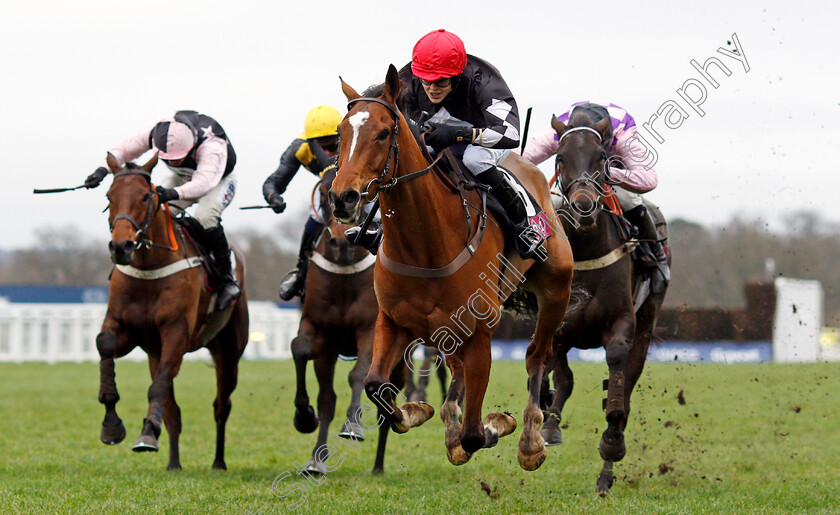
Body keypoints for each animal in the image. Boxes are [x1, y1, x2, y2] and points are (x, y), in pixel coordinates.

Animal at [98, 153, 248, 472]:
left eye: (145, 196)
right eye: (109, 196)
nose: (121, 247)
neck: (148, 266)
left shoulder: (176, 332)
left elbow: (158, 388)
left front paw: (146, 434)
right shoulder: (127, 329)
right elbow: (104, 344)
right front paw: (111, 425)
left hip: (228, 352)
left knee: (221, 406)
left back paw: (218, 461)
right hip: (155, 353)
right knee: (173, 410)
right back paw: (174, 463)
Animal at [292, 176, 406, 476]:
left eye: (360, 197)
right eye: (325, 194)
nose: (342, 243)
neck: (344, 275)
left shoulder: (368, 330)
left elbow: (357, 375)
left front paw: (352, 424)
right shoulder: (321, 333)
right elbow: (300, 350)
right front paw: (304, 418)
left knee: (387, 397)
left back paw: (378, 465)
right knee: (329, 399)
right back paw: (318, 459)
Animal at [330, 65, 576, 472]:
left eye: (383, 132)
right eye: (340, 133)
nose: (342, 198)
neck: (424, 245)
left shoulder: (480, 332)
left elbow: (476, 434)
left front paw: (496, 424)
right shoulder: (393, 320)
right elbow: (376, 386)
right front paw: (415, 411)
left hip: (556, 288)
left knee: (536, 356)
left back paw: (529, 440)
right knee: (456, 372)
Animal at [540, 111, 672, 494]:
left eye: (602, 157)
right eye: (561, 157)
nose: (584, 206)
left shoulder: (621, 324)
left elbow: (616, 390)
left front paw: (612, 443)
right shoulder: (559, 326)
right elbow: (560, 378)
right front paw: (549, 425)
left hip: (647, 321)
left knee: (627, 385)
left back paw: (606, 473)